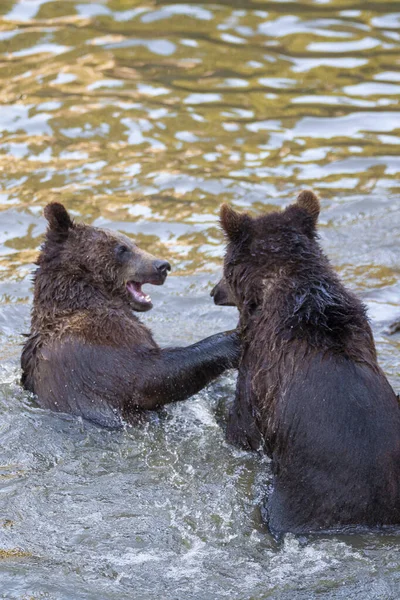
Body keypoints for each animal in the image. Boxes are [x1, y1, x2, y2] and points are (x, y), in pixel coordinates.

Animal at [21, 204, 239, 428]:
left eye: (132, 243)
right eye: (122, 249)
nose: (163, 266)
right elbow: (150, 375)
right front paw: (233, 339)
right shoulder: (96, 346)